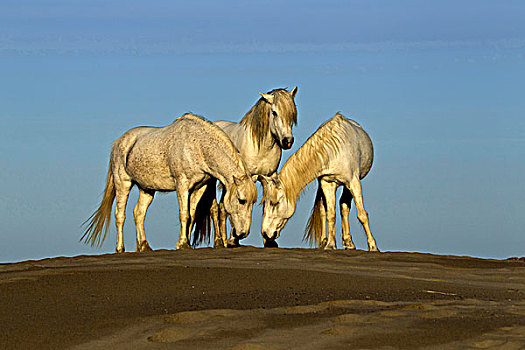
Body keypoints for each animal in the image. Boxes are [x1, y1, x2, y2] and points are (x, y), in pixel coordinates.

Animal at [80, 113, 258, 253]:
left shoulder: (199, 187)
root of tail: (118, 142)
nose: (243, 233)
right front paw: (182, 244)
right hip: (123, 183)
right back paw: (120, 248)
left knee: (139, 213)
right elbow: (184, 214)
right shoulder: (182, 185)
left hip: (147, 189)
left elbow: (191, 214)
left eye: (253, 202)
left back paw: (144, 246)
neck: (197, 146)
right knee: (120, 215)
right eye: (242, 200)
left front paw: (185, 242)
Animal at [193, 86, 298, 247]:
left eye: (292, 114)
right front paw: (234, 238)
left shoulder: (269, 177)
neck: (261, 148)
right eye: (274, 112)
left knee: (223, 207)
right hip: (212, 181)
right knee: (215, 208)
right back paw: (220, 241)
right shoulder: (246, 178)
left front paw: (269, 240)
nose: (287, 141)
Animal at [260, 113, 378, 250]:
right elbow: (330, 214)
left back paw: (349, 243)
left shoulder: (353, 182)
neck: (333, 150)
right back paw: (331, 241)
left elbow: (362, 214)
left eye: (275, 203)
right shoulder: (327, 183)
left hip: (347, 185)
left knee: (344, 206)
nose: (265, 233)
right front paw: (330, 244)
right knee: (326, 209)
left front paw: (373, 246)